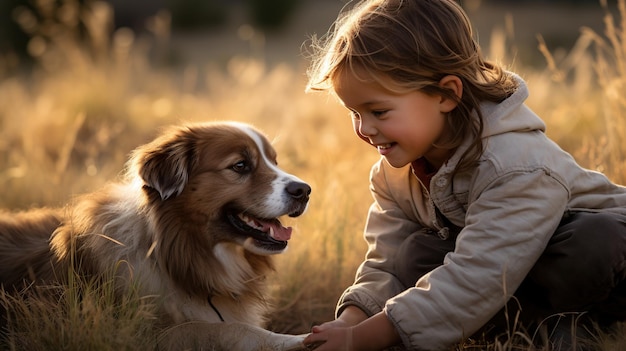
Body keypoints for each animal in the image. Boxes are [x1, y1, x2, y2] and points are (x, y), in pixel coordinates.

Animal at [0, 122, 310, 350]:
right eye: (241, 165)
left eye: (274, 161)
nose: (304, 191)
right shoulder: (142, 332)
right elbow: (228, 329)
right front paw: (297, 340)